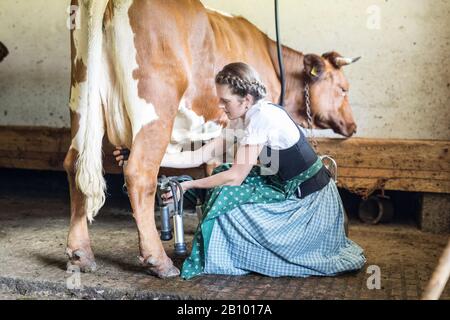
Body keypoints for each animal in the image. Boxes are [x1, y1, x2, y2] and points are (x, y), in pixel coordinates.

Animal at [67, 0, 360, 278]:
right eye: (343, 89)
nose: (354, 126)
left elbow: (209, 168)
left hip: (81, 97)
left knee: (74, 164)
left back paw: (80, 254)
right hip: (156, 106)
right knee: (140, 173)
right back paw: (159, 261)